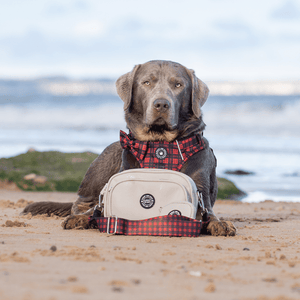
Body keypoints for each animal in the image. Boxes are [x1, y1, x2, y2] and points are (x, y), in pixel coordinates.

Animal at [22, 59, 236, 236]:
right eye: (147, 82)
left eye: (178, 85)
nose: (161, 104)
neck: (160, 146)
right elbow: (96, 208)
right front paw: (82, 218)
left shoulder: (200, 188)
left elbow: (210, 213)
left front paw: (220, 223)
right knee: (82, 201)